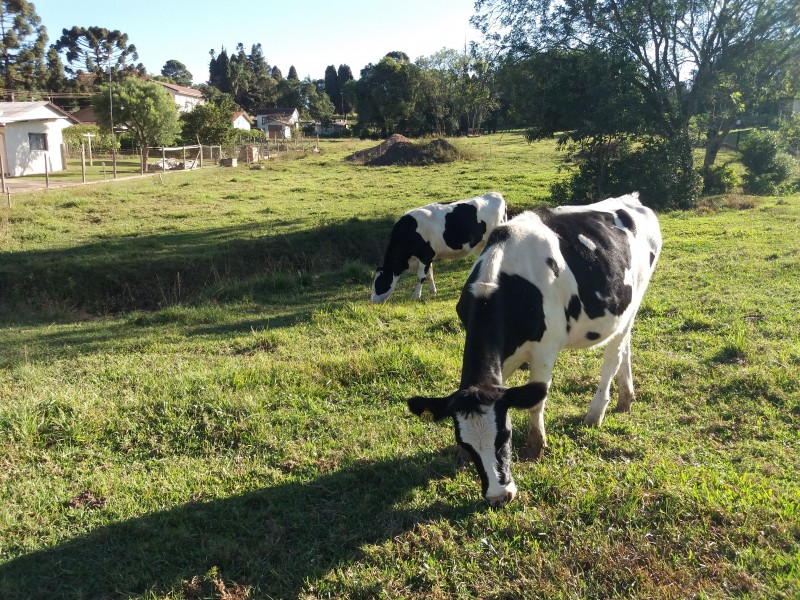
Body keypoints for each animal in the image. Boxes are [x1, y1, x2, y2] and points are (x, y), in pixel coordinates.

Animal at [370, 192, 506, 302]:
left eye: (380, 283)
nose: (372, 301)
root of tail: (497, 194)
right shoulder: (428, 257)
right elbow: (429, 274)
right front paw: (433, 292)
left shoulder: (425, 255)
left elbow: (420, 277)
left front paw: (416, 296)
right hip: (482, 244)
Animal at [406, 193, 664, 506]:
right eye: (465, 443)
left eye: (505, 436)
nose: (499, 497)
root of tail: (631, 198)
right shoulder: (501, 358)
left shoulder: (545, 350)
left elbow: (536, 401)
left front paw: (536, 446)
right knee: (625, 347)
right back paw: (626, 398)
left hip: (634, 299)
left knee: (613, 357)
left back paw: (596, 413)